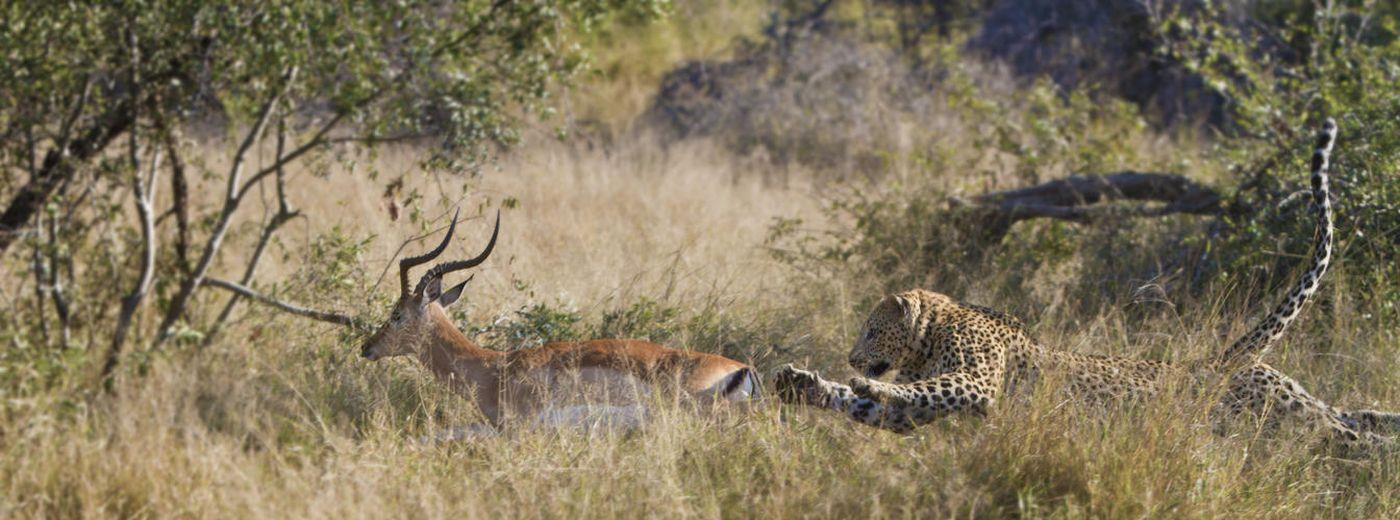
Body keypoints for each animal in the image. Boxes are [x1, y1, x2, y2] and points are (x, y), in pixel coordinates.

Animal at [778, 119, 1400, 448]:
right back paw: (1386, 424)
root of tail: (1219, 362)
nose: (851, 356)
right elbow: (873, 406)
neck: (936, 331)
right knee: (1353, 414)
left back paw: (1381, 455)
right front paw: (801, 382)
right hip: (1294, 404)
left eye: (871, 329)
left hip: (1285, 415)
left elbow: (914, 390)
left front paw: (864, 381)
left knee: (1352, 438)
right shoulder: (921, 415)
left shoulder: (975, 383)